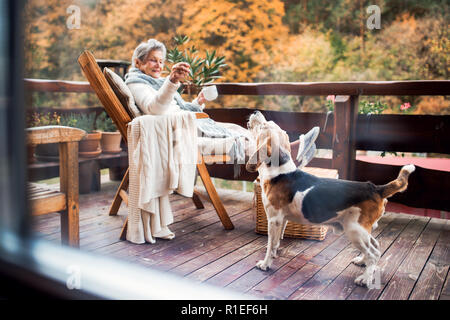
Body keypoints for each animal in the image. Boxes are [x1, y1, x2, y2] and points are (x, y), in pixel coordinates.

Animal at [246, 112, 414, 288]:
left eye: (264, 126)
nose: (256, 112)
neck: (279, 169)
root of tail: (375, 188)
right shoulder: (282, 220)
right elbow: (276, 242)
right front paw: (274, 255)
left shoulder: (274, 220)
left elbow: (270, 245)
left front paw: (265, 264)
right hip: (362, 230)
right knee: (375, 246)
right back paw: (362, 261)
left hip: (354, 230)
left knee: (373, 253)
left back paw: (365, 278)